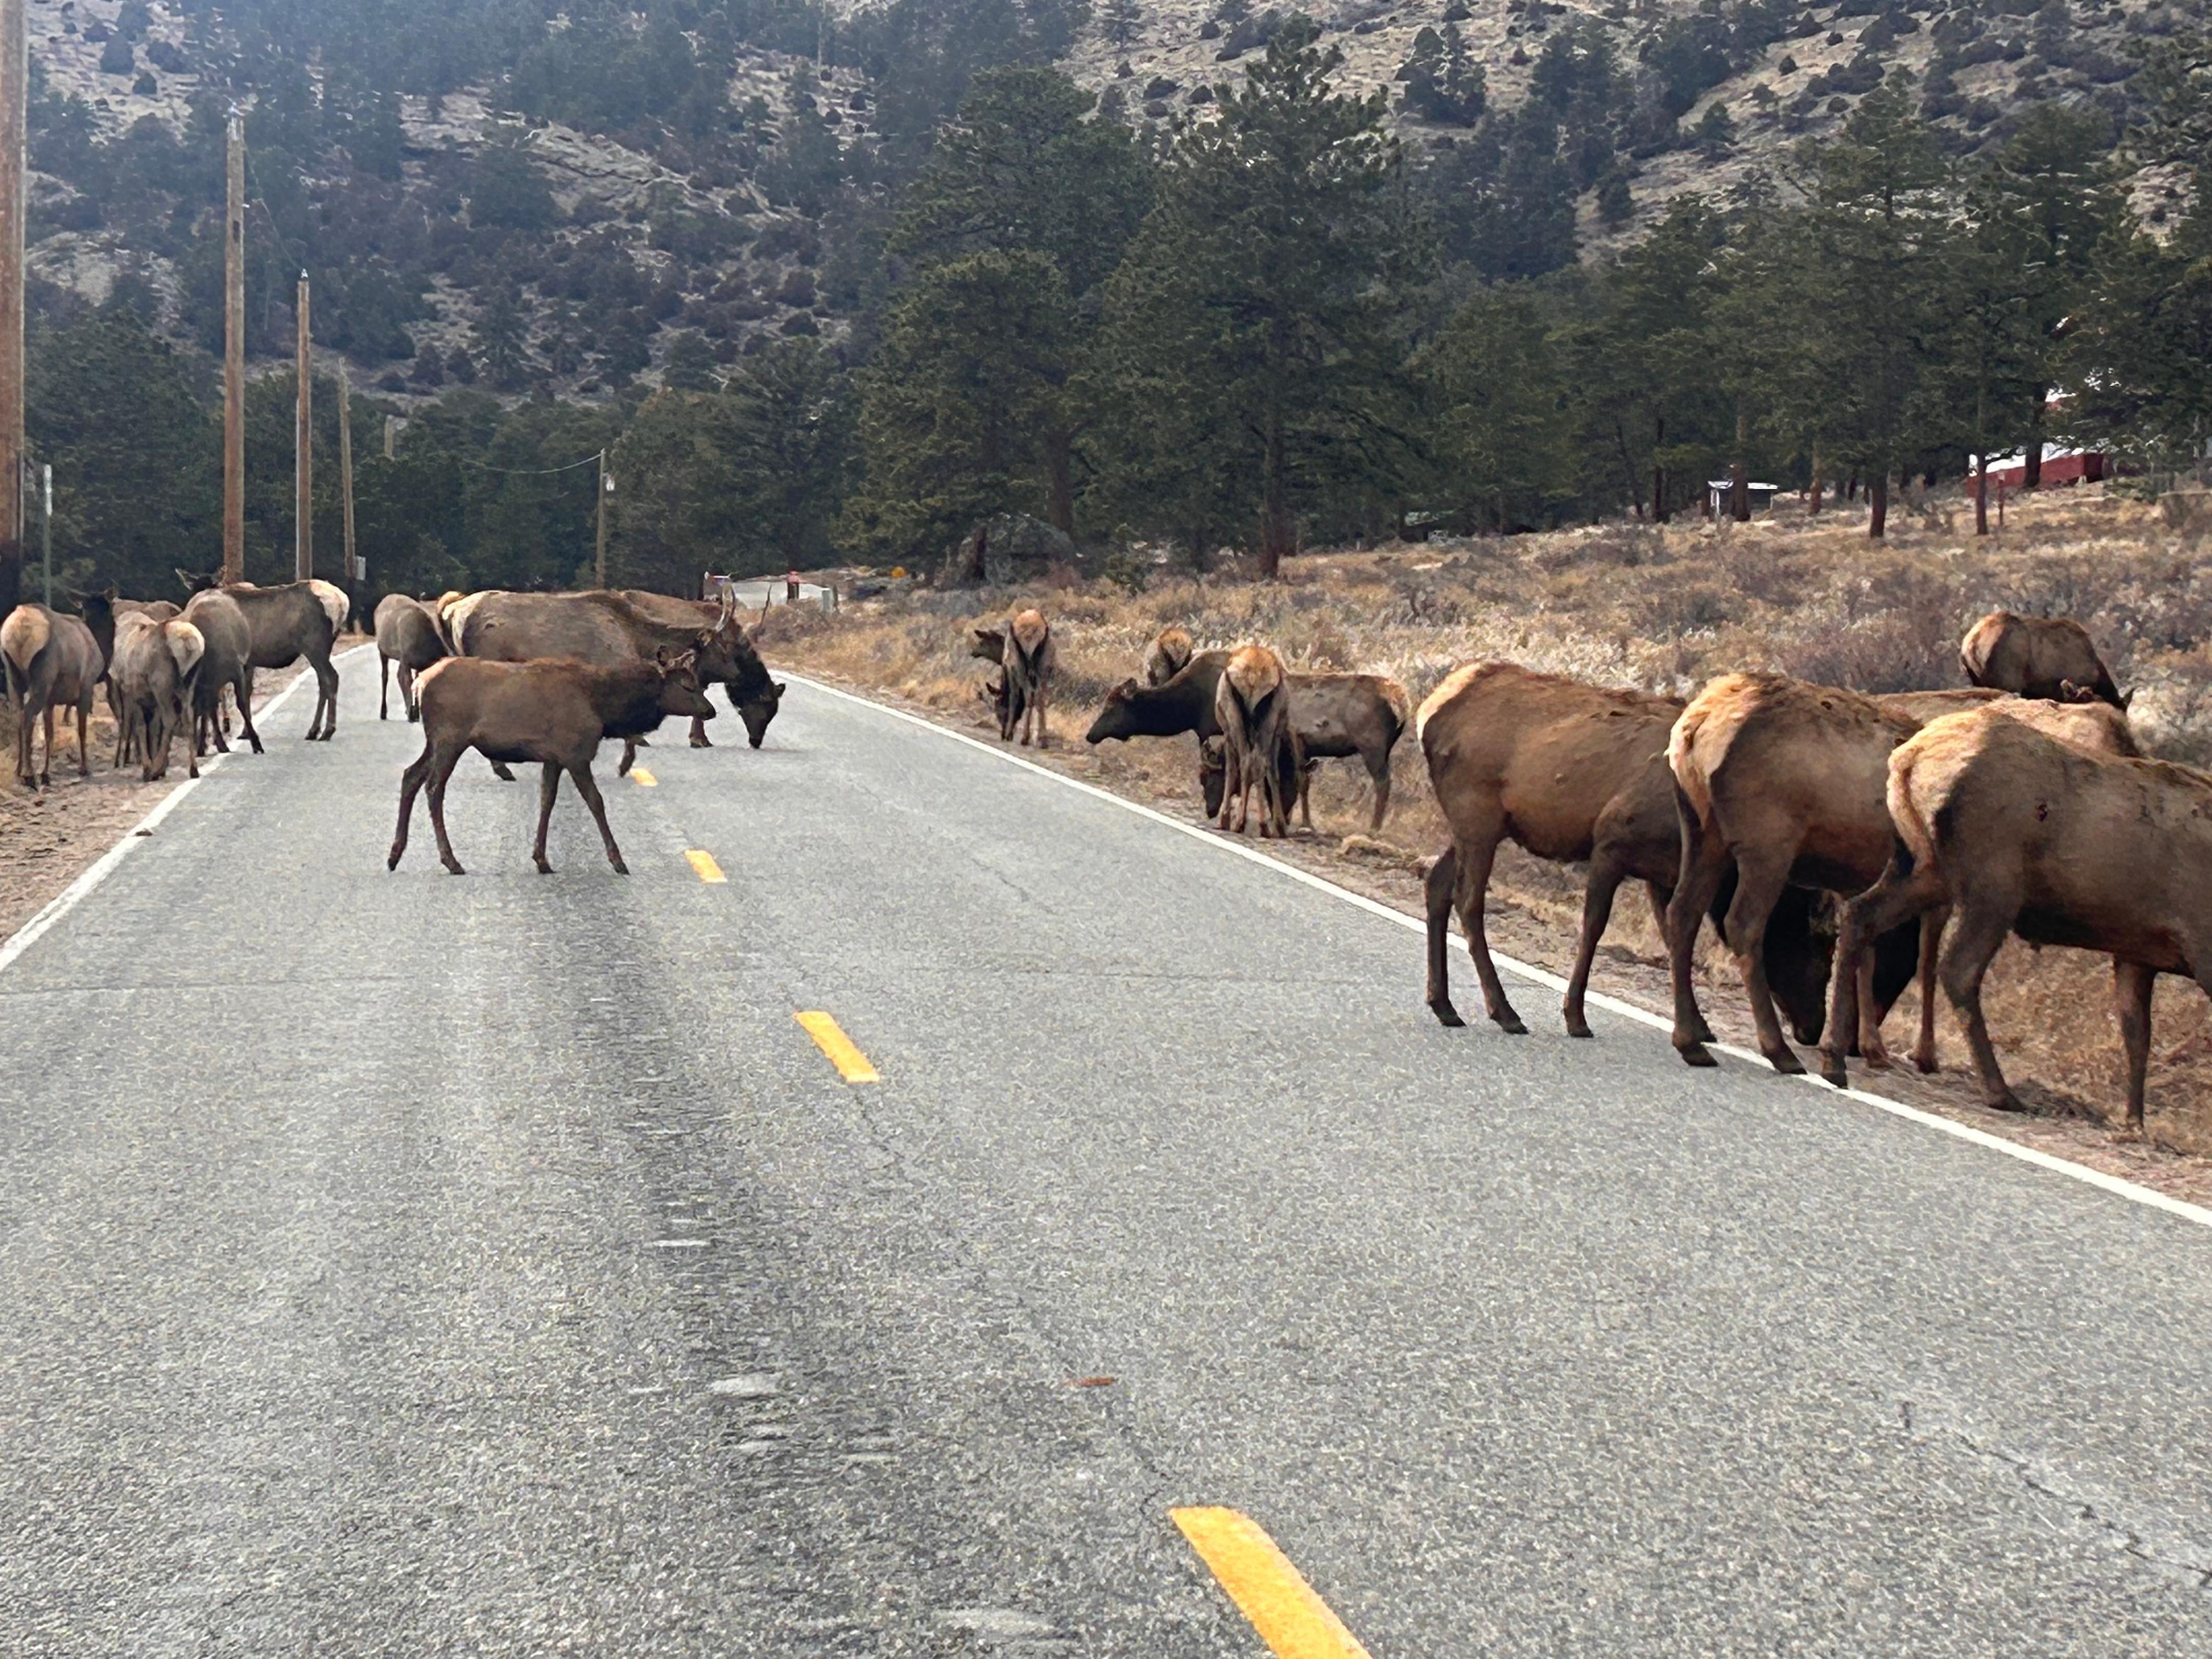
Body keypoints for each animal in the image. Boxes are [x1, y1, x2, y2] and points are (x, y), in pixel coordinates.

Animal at [389, 650, 716, 878]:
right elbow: (596, 802)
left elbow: (548, 800)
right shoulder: (576, 754)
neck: (604, 709)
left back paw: (394, 855)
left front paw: (542, 859)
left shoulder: (554, 758)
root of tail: (420, 682)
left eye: (697, 683)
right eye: (687, 685)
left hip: (436, 741)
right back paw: (451, 861)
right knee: (434, 788)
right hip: (450, 738)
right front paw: (618, 861)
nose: (711, 711)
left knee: (410, 775)